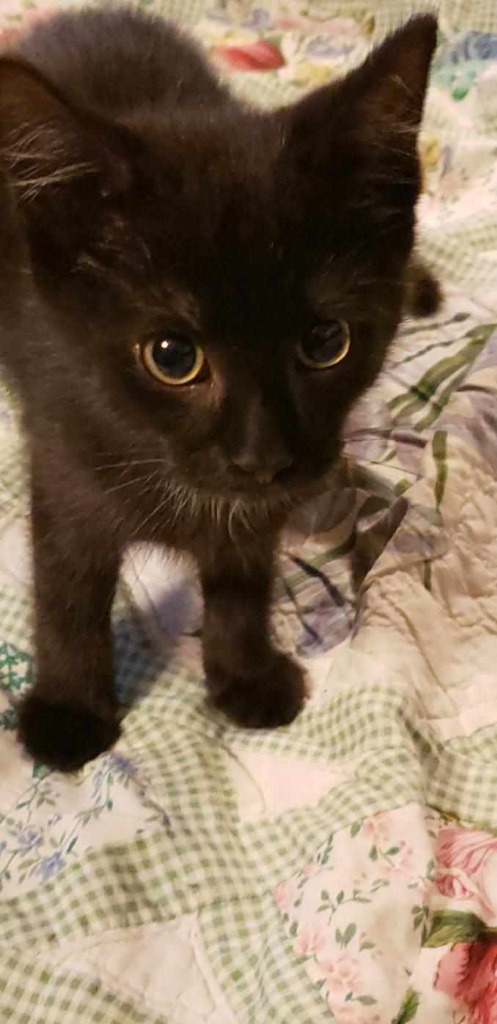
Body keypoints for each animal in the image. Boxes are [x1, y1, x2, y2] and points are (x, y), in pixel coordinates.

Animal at [0, 6, 438, 770]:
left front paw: (244, 673)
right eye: (173, 356)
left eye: (326, 342)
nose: (261, 456)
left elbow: (241, 576)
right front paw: (71, 708)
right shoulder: (61, 453)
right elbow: (66, 586)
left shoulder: (263, 506)